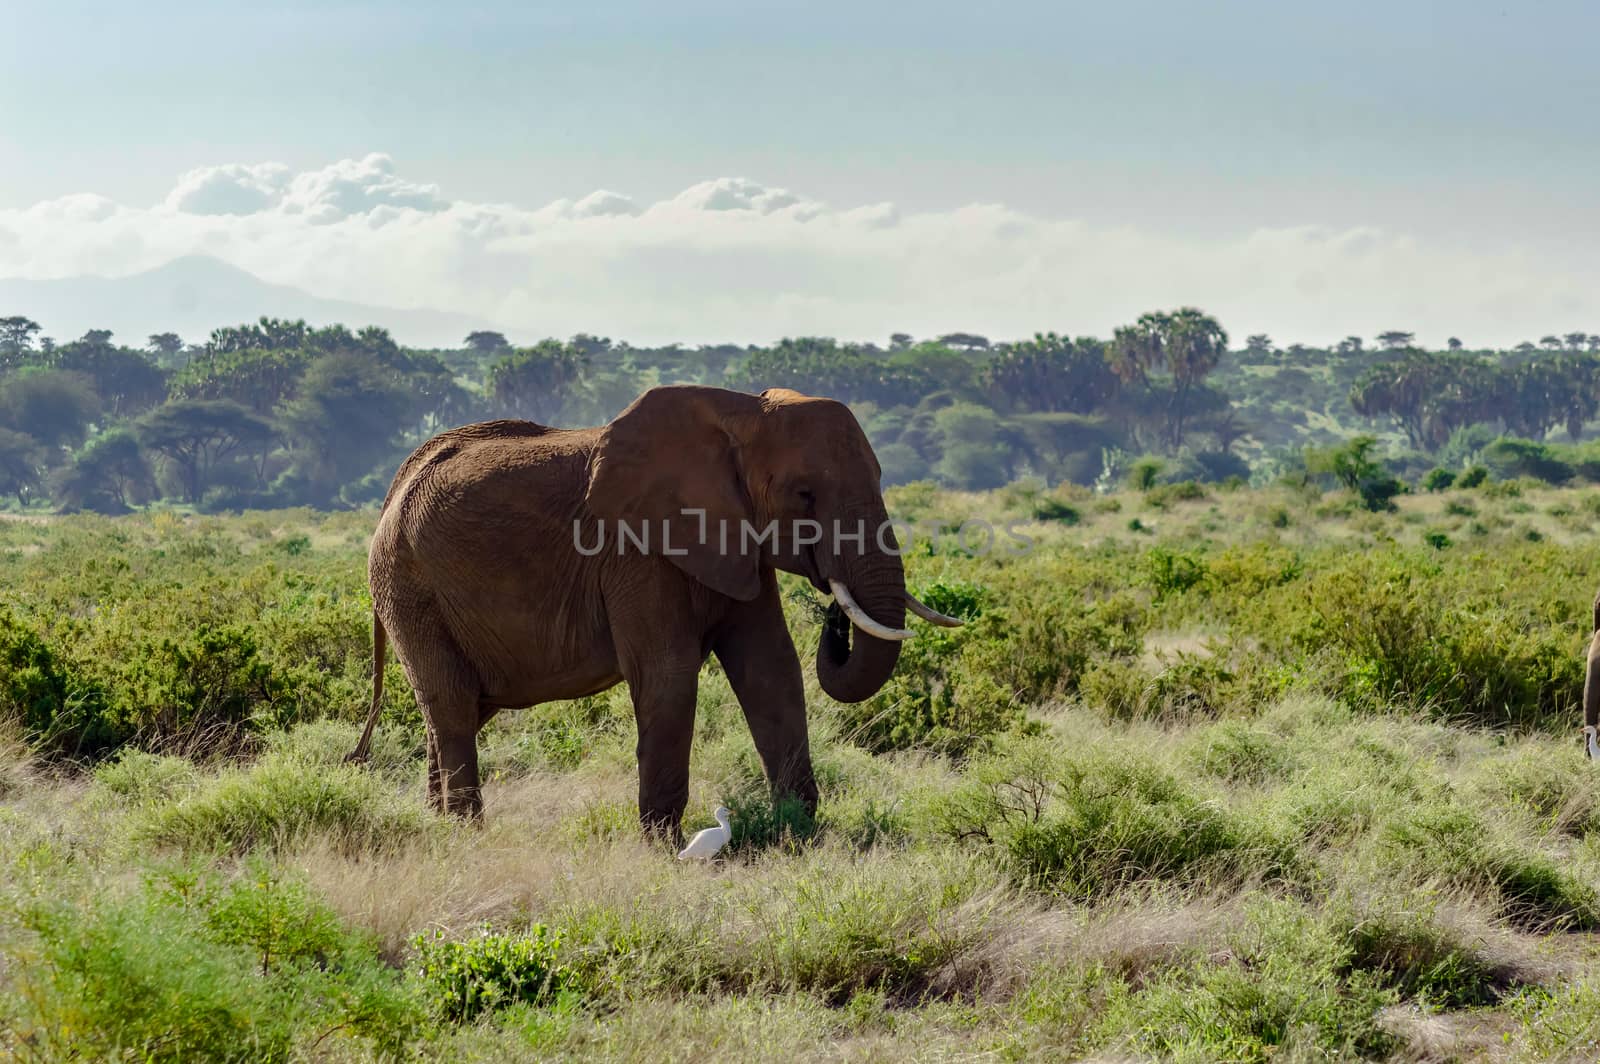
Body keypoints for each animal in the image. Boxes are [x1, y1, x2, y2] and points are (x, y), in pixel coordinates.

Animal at [345, 384, 960, 838]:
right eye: (804, 495)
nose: (835, 617)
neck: (740, 414)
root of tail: (395, 486)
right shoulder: (635, 550)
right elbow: (668, 674)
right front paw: (663, 847)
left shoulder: (737, 539)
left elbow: (771, 668)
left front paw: (798, 830)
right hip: (409, 586)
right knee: (451, 706)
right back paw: (466, 835)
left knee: (462, 709)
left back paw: (438, 826)